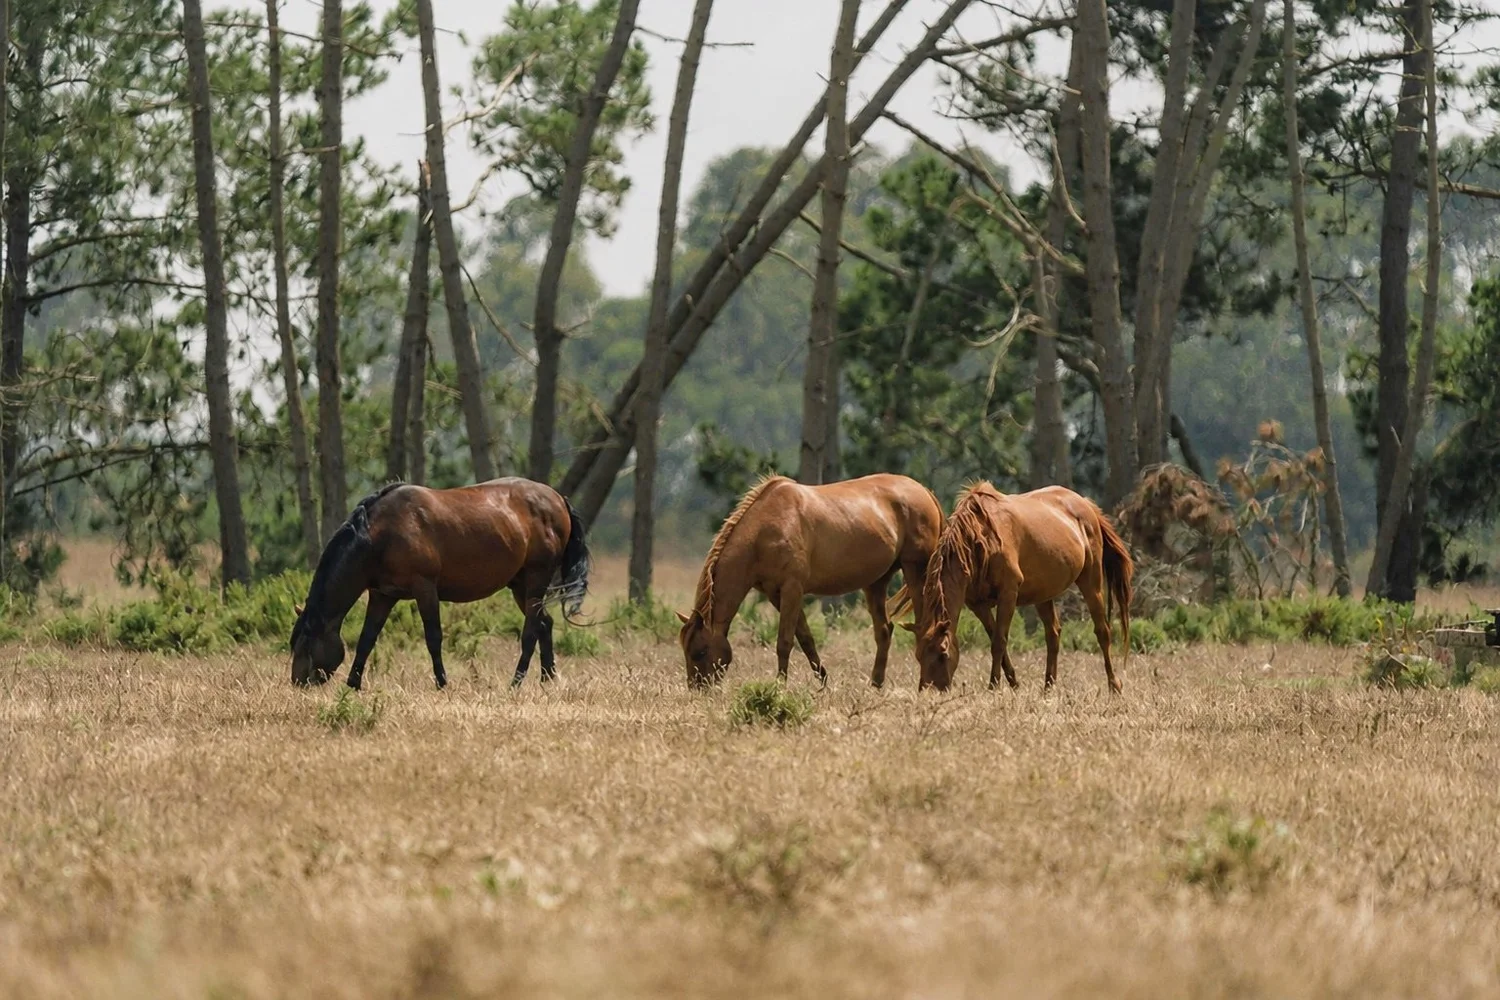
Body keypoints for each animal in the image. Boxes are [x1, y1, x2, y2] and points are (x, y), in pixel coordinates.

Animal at [290, 478, 590, 691]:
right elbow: (366, 639)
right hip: (520, 585)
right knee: (544, 623)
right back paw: (548, 678)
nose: (297, 683)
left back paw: (515, 682)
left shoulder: (425, 588)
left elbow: (433, 637)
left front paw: (442, 682)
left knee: (530, 631)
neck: (379, 535)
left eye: (305, 644)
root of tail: (558, 499)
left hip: (537, 578)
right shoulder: (382, 595)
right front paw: (353, 683)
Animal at [677, 473, 943, 689]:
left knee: (922, 626)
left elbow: (784, 642)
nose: (698, 689)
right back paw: (875, 685)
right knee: (884, 631)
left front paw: (779, 688)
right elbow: (805, 639)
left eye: (700, 651)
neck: (764, 530)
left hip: (915, 571)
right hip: (876, 582)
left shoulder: (792, 589)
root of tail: (924, 491)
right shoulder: (776, 594)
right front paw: (823, 683)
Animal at [896, 482, 1132, 693]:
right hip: (1043, 594)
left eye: (942, 654)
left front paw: (993, 686)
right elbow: (996, 639)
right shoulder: (977, 605)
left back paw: (1114, 685)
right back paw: (1048, 687)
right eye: (918, 655)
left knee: (1102, 631)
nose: (929, 691)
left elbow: (999, 642)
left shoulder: (1008, 594)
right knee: (1053, 634)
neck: (979, 541)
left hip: (1091, 582)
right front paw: (1014, 684)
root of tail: (1086, 504)